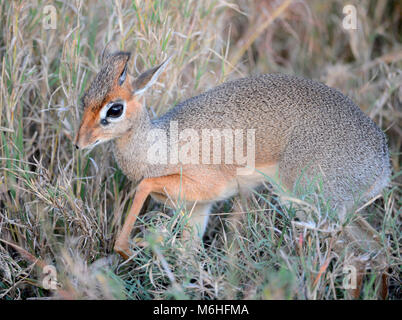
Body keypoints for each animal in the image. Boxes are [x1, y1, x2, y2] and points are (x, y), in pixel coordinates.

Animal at [74, 48, 390, 282]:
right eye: (84, 99)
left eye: (115, 109)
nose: (79, 143)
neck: (161, 145)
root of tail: (383, 162)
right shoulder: (196, 209)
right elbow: (188, 256)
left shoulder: (203, 186)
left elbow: (145, 185)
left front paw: (128, 249)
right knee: (375, 249)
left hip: (311, 203)